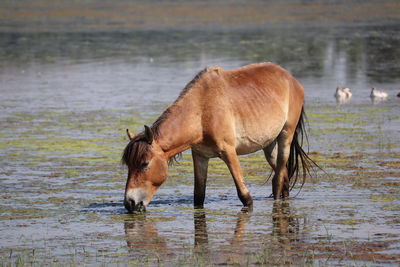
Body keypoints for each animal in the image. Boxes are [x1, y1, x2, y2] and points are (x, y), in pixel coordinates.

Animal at [120, 62, 314, 214]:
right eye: (128, 165)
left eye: (144, 163)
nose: (129, 203)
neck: (201, 111)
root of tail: (291, 80)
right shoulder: (200, 156)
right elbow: (199, 197)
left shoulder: (229, 152)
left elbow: (246, 198)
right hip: (269, 146)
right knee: (284, 177)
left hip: (285, 137)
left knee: (278, 180)